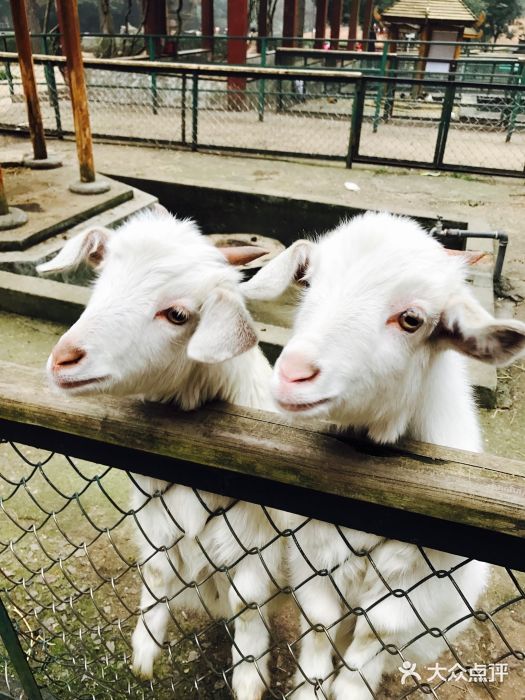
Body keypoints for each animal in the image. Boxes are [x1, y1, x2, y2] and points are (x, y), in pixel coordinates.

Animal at [37, 211, 282, 700]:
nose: (64, 360)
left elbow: (249, 605)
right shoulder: (153, 516)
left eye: (178, 314)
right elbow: (154, 574)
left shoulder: (254, 540)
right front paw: (144, 654)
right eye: (99, 281)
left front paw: (249, 680)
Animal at [243, 212, 525, 700]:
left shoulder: (412, 588)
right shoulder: (317, 555)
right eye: (308, 282)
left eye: (412, 319)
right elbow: (320, 623)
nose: (294, 373)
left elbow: (374, 641)